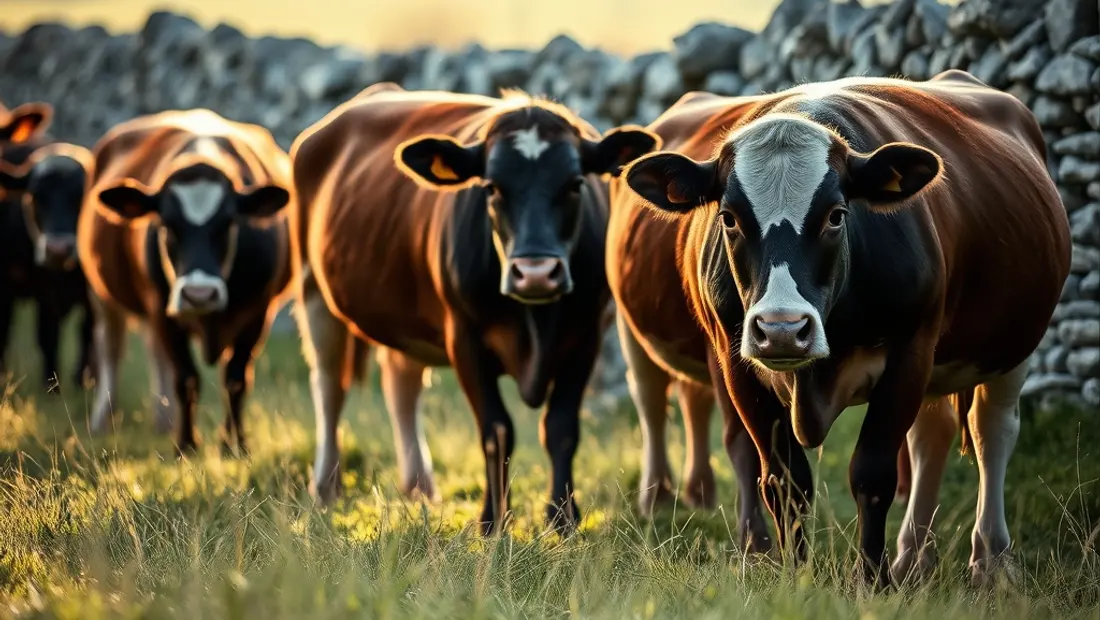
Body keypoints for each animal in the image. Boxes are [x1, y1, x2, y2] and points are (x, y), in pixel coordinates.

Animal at [78, 109, 293, 455]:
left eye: (228, 223)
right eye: (167, 224)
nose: (199, 294)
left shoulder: (259, 314)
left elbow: (236, 379)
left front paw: (234, 445)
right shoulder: (162, 312)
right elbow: (186, 379)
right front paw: (186, 444)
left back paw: (162, 420)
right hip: (103, 297)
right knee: (112, 351)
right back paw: (104, 420)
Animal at [289, 83, 658, 534]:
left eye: (574, 184)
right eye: (492, 187)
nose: (535, 273)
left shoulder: (586, 335)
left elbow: (561, 428)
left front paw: (563, 519)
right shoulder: (464, 337)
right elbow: (496, 430)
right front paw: (493, 521)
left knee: (401, 384)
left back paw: (419, 488)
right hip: (313, 289)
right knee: (329, 386)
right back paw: (325, 486)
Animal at [617, 70, 1071, 587]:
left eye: (836, 215)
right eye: (728, 218)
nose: (781, 328)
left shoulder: (910, 350)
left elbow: (873, 474)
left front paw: (872, 580)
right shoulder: (735, 364)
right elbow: (784, 480)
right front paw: (795, 575)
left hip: (1012, 346)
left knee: (991, 432)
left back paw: (991, 559)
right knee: (931, 436)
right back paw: (914, 558)